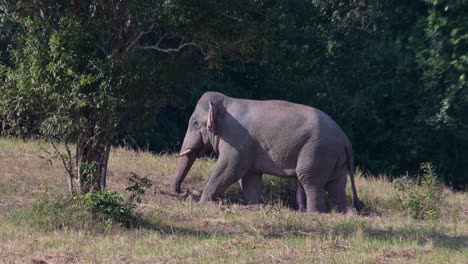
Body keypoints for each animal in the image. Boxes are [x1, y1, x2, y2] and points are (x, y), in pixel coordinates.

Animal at [172, 92, 366, 213]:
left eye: (195, 123)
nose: (184, 192)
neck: (228, 102)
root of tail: (345, 139)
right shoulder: (249, 145)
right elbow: (249, 178)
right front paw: (257, 206)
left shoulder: (237, 140)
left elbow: (229, 169)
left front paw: (202, 202)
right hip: (335, 157)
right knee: (336, 185)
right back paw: (341, 213)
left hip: (318, 150)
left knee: (311, 181)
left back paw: (314, 213)